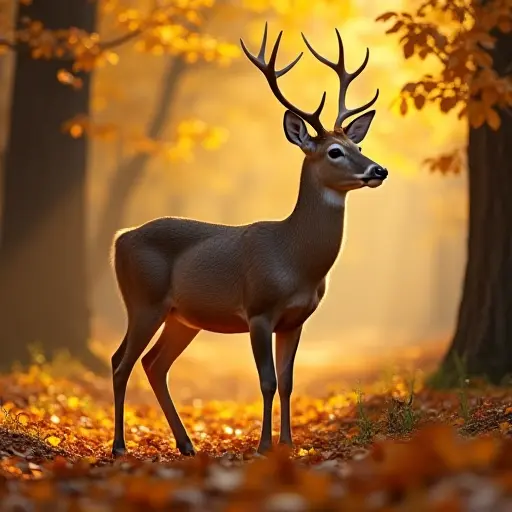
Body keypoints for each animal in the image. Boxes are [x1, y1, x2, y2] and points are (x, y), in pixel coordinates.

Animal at [109, 23, 388, 456]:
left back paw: (186, 444)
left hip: (182, 317)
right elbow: (267, 381)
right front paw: (263, 447)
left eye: (358, 144)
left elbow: (288, 382)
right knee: (120, 361)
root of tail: (121, 237)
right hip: (143, 300)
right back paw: (120, 446)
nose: (379, 170)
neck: (294, 259)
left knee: (153, 364)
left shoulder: (296, 319)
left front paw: (287, 444)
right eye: (335, 151)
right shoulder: (259, 309)